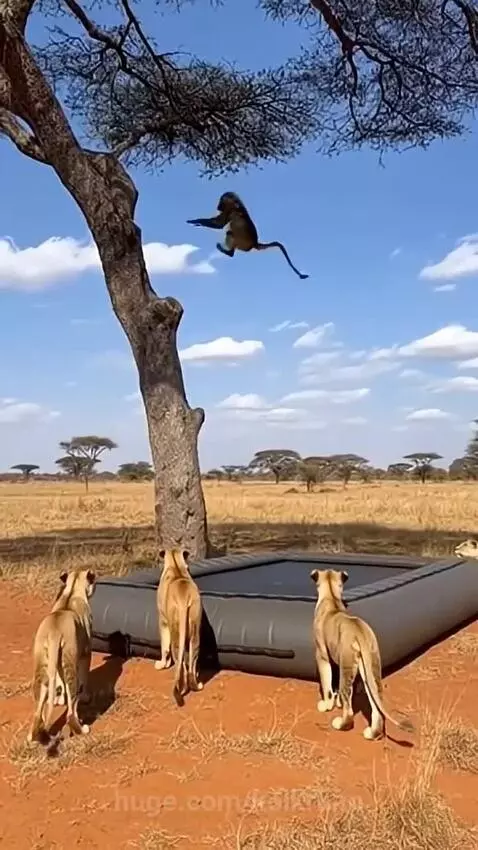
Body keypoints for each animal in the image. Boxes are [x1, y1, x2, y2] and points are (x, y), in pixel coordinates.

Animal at [27, 568, 96, 744]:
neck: (72, 591)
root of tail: (54, 632)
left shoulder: (58, 662)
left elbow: (59, 680)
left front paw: (59, 699)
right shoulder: (86, 652)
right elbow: (84, 678)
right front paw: (86, 697)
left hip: (43, 664)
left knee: (38, 711)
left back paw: (32, 736)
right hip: (70, 660)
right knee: (71, 711)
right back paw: (83, 729)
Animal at [154, 548, 203, 706]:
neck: (176, 567)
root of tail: (183, 599)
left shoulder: (163, 621)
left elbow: (164, 647)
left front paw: (162, 664)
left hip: (175, 631)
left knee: (180, 665)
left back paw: (180, 689)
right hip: (195, 632)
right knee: (191, 664)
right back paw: (196, 683)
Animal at [310, 568, 414, 740]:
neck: (331, 597)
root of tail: (360, 632)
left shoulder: (322, 655)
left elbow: (327, 684)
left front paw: (325, 705)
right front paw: (335, 702)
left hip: (347, 663)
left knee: (348, 706)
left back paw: (340, 724)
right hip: (370, 668)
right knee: (376, 701)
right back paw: (372, 733)